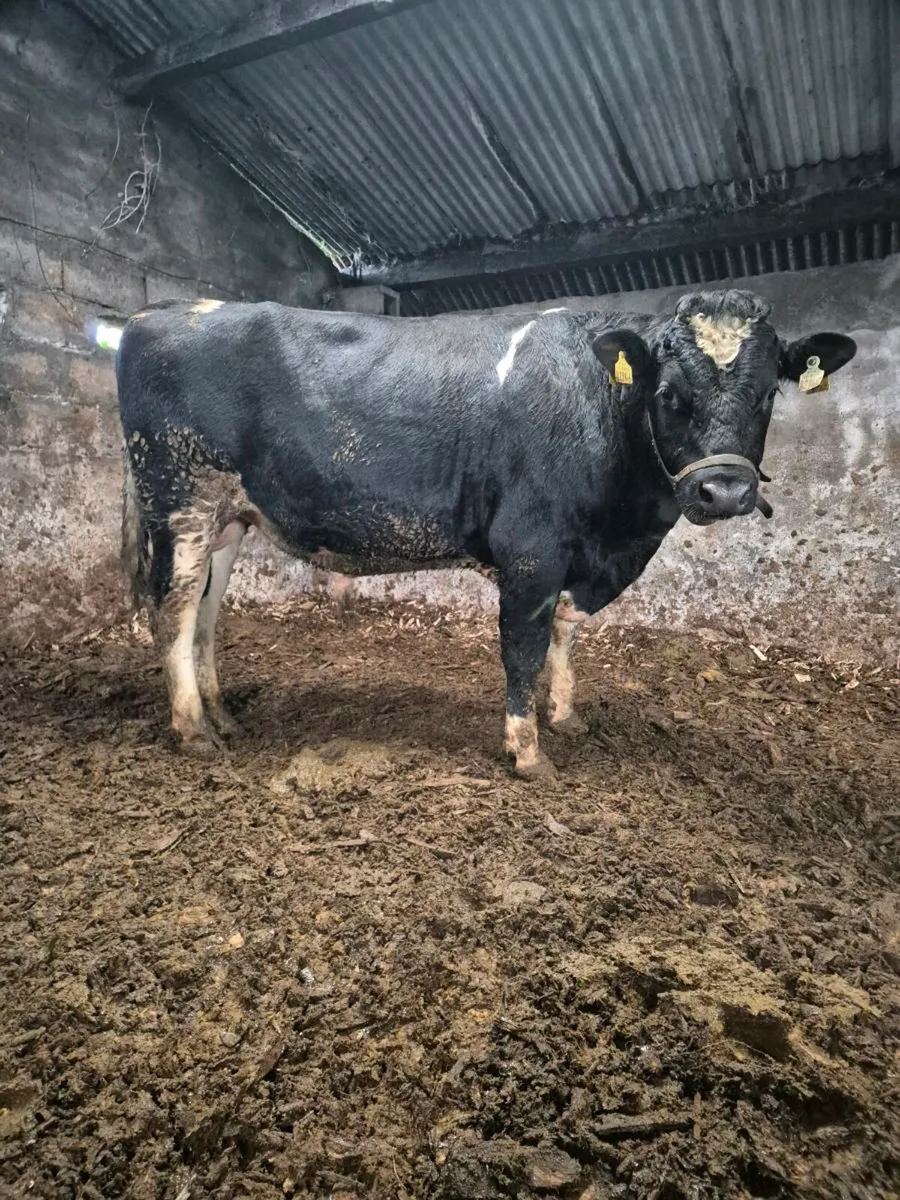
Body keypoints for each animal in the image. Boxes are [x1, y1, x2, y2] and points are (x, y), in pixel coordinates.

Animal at [117, 290, 856, 778]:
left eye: (769, 394)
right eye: (670, 393)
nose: (724, 491)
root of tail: (157, 314)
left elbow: (564, 634)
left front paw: (564, 714)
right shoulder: (532, 549)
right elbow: (523, 648)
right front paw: (526, 752)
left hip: (230, 517)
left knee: (208, 611)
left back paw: (222, 715)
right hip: (179, 498)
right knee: (173, 609)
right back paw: (193, 730)